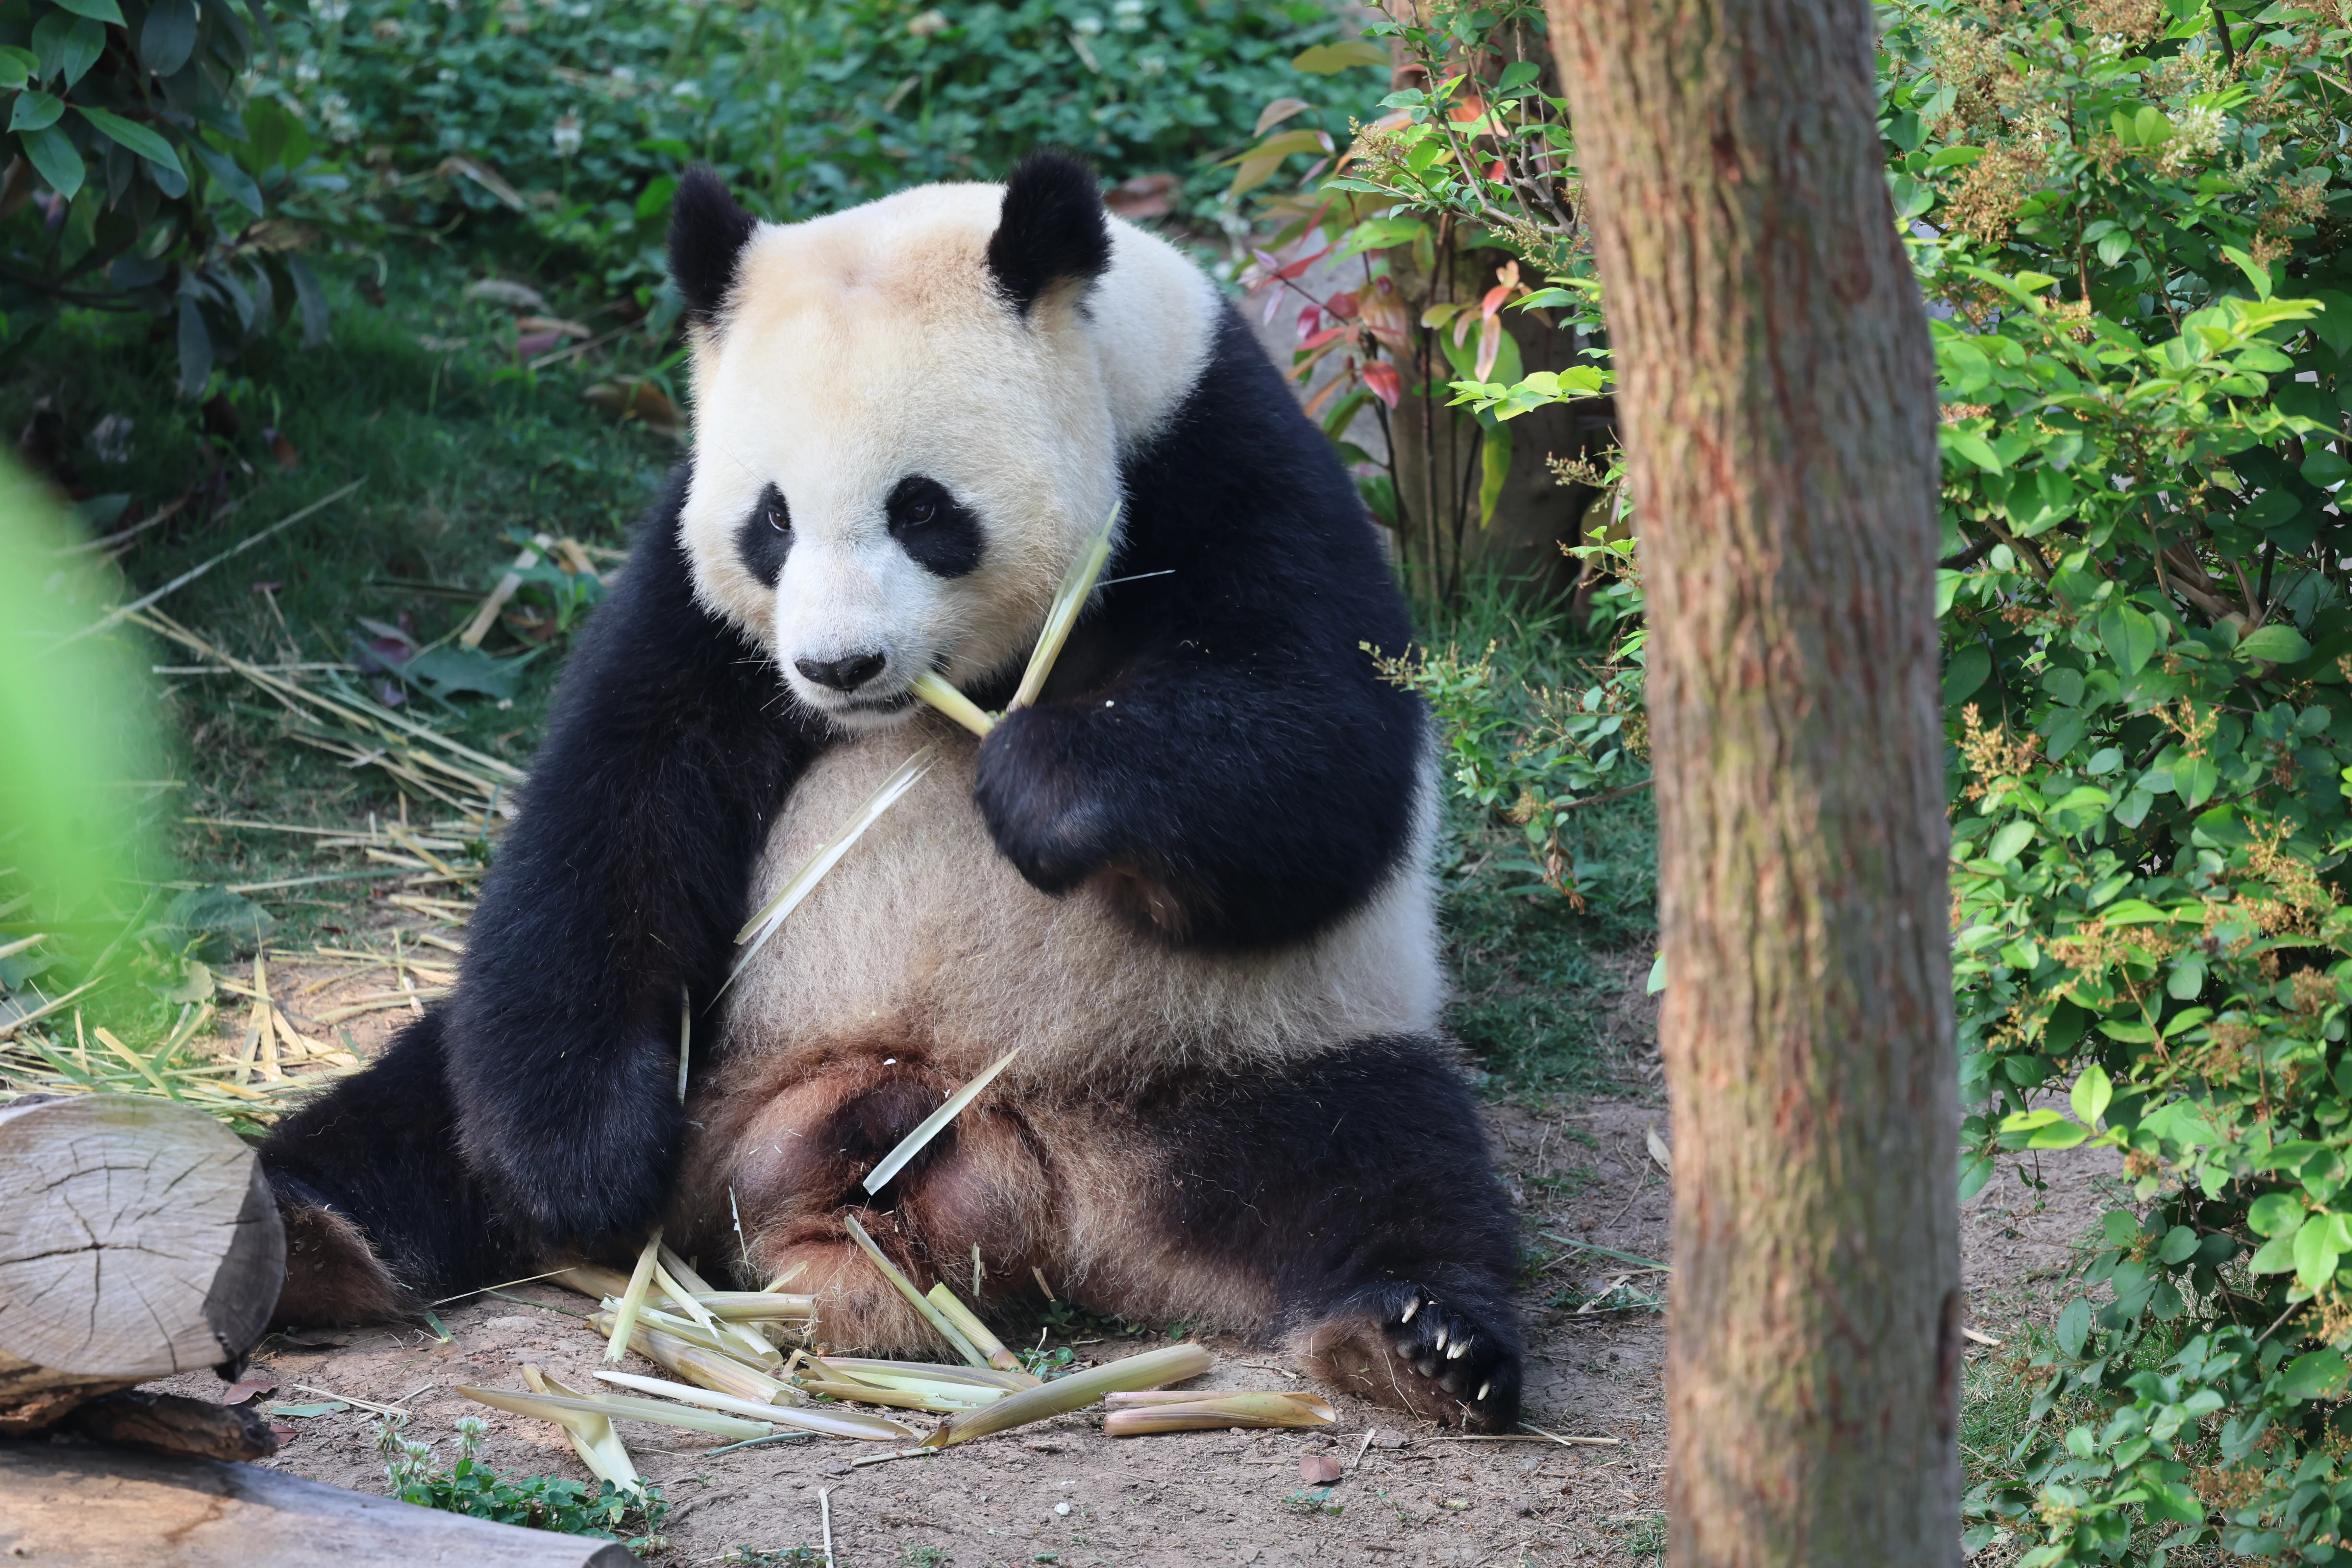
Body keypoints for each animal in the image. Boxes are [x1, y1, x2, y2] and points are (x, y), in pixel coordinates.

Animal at [261, 152, 1524, 1430]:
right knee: (422, 1105)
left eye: (922, 509)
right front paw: (582, 1174)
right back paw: (301, 1240)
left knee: (1380, 1163)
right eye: (771, 519)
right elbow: (615, 803)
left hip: (1238, 1056)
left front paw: (1042, 787)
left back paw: (1418, 1340)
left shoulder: (1226, 461)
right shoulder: (692, 591)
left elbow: (1325, 752)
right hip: (717, 1046)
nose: (837, 667)